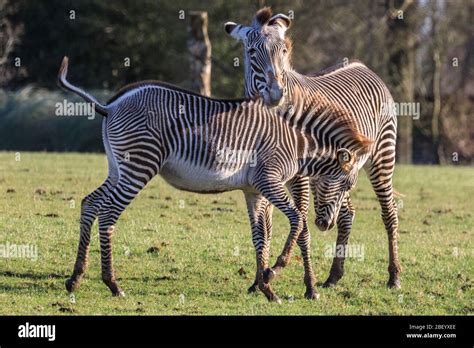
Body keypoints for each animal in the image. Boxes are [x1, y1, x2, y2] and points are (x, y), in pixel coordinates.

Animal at [57, 55, 372, 300]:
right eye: (347, 184)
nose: (326, 225)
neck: (295, 142)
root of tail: (110, 106)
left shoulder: (253, 189)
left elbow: (261, 236)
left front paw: (266, 288)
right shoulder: (269, 181)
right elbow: (297, 220)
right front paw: (275, 271)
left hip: (118, 167)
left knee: (90, 203)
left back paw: (76, 278)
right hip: (138, 166)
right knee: (108, 214)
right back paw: (112, 283)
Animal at [224, 8, 402, 290]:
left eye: (284, 51)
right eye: (251, 52)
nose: (276, 94)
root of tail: (364, 67)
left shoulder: (298, 176)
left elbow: (301, 225)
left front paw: (301, 281)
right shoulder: (260, 173)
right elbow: (265, 226)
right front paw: (258, 282)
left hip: (381, 156)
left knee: (389, 212)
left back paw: (394, 276)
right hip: (340, 170)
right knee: (346, 214)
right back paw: (333, 276)